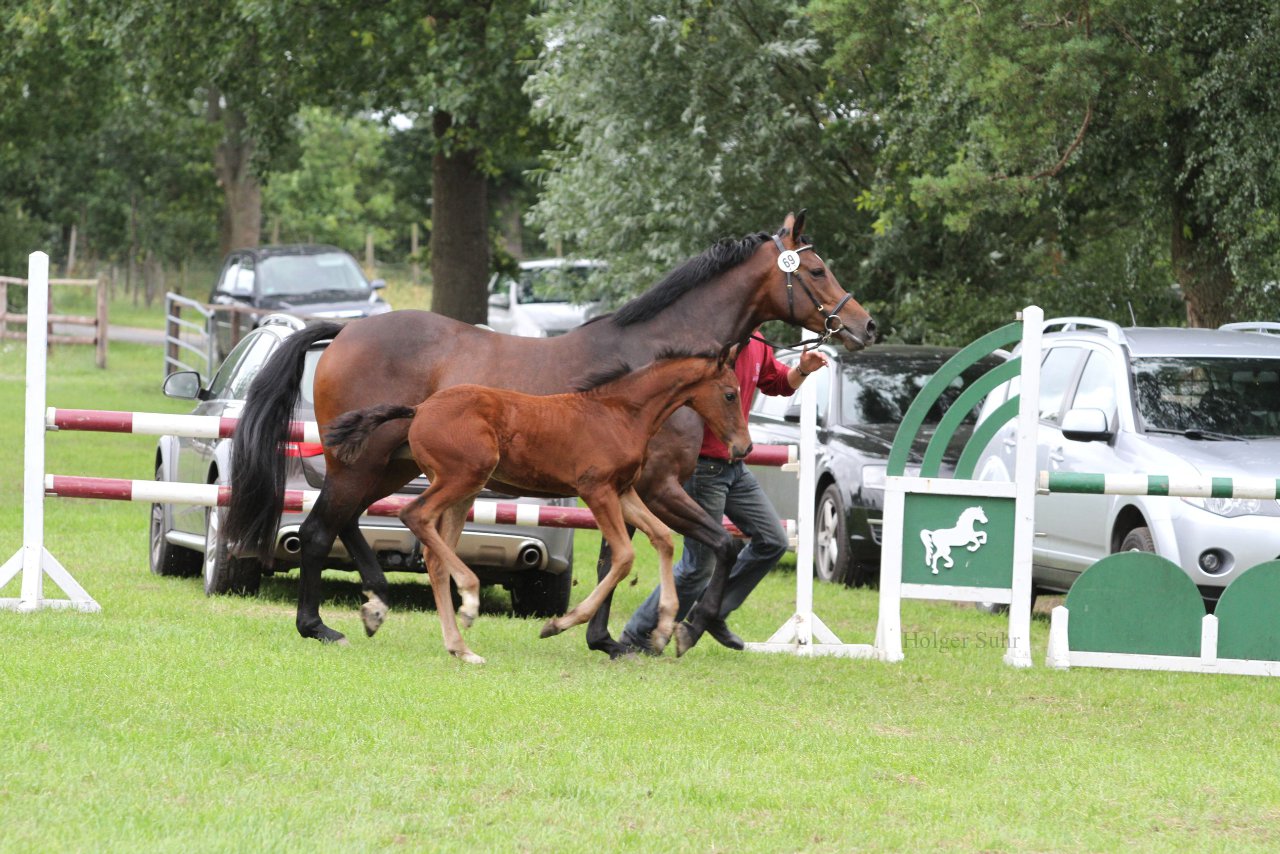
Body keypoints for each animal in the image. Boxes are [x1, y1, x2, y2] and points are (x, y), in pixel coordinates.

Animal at [320, 350, 752, 665]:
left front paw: (664, 632)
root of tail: (420, 409)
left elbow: (663, 539)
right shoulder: (596, 489)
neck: (622, 414)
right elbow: (625, 556)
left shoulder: (625, 491)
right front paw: (559, 624)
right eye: (730, 394)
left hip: (465, 491)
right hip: (464, 477)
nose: (744, 447)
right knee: (415, 515)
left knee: (434, 555)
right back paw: (470, 601)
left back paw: (460, 647)